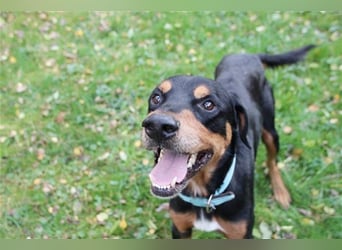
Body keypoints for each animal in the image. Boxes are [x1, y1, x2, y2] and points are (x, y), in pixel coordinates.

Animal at [141, 44, 316, 238]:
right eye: (156, 97)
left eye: (208, 104)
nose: (157, 125)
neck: (205, 196)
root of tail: (248, 55)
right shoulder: (180, 227)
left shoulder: (241, 233)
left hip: (271, 130)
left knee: (272, 161)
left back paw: (280, 191)